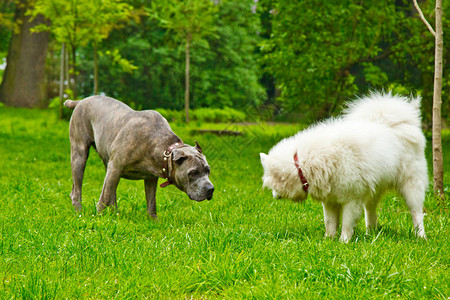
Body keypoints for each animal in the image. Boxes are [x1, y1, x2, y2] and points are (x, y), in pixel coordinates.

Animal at [63, 95, 216, 217]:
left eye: (208, 170)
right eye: (193, 173)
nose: (211, 189)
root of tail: (81, 101)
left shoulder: (150, 178)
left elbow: (151, 202)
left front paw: (153, 221)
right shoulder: (116, 167)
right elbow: (104, 197)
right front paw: (98, 218)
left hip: (108, 164)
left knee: (111, 191)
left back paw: (115, 214)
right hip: (80, 154)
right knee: (78, 190)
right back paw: (80, 214)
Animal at [258, 92, 428, 243]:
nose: (274, 196)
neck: (304, 163)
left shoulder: (352, 199)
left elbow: (346, 223)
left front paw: (343, 241)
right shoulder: (330, 199)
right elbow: (329, 222)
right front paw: (329, 239)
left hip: (411, 185)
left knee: (416, 212)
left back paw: (420, 236)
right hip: (374, 189)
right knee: (370, 211)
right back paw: (371, 233)